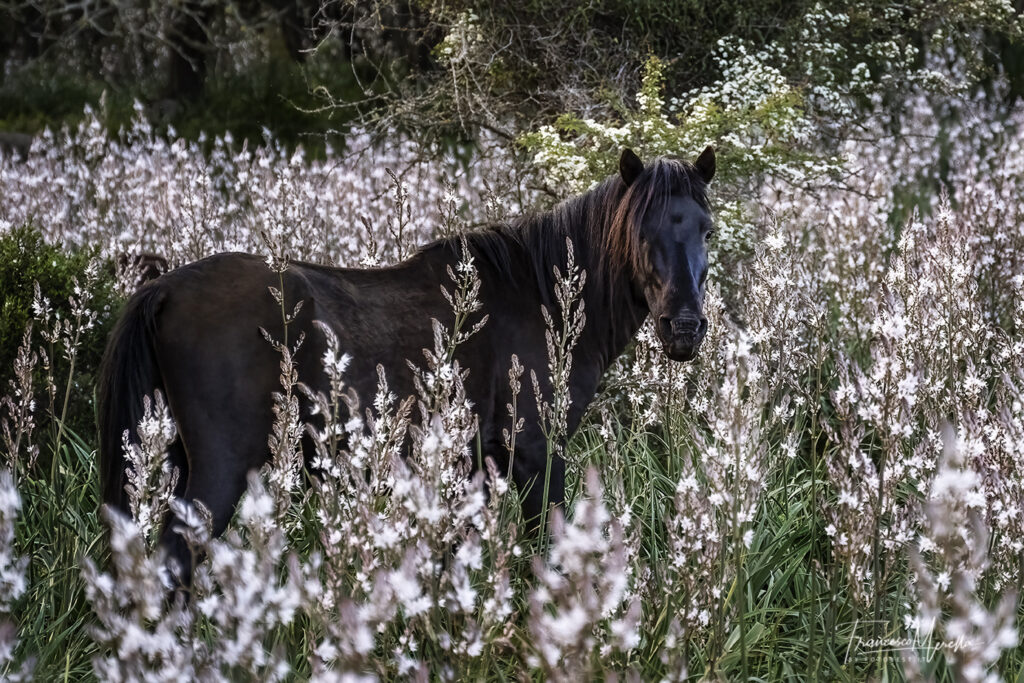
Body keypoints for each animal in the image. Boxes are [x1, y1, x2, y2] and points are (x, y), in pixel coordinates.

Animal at [98, 147, 717, 577]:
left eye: (706, 229)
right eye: (640, 228)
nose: (684, 328)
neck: (541, 297)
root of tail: (164, 289)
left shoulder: (478, 461)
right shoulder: (535, 453)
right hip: (219, 470)